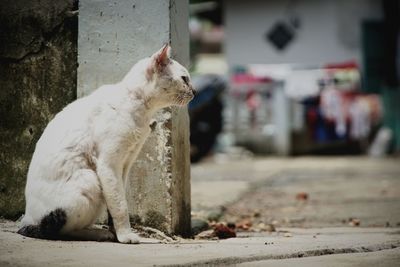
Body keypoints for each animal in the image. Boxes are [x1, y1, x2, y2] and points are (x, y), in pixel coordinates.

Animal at [18, 45, 195, 244]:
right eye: (184, 78)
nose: (195, 92)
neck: (139, 108)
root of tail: (26, 219)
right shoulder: (109, 164)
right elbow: (120, 205)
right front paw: (126, 236)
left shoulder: (125, 164)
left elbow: (117, 200)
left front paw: (117, 232)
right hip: (89, 180)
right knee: (61, 231)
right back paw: (97, 234)